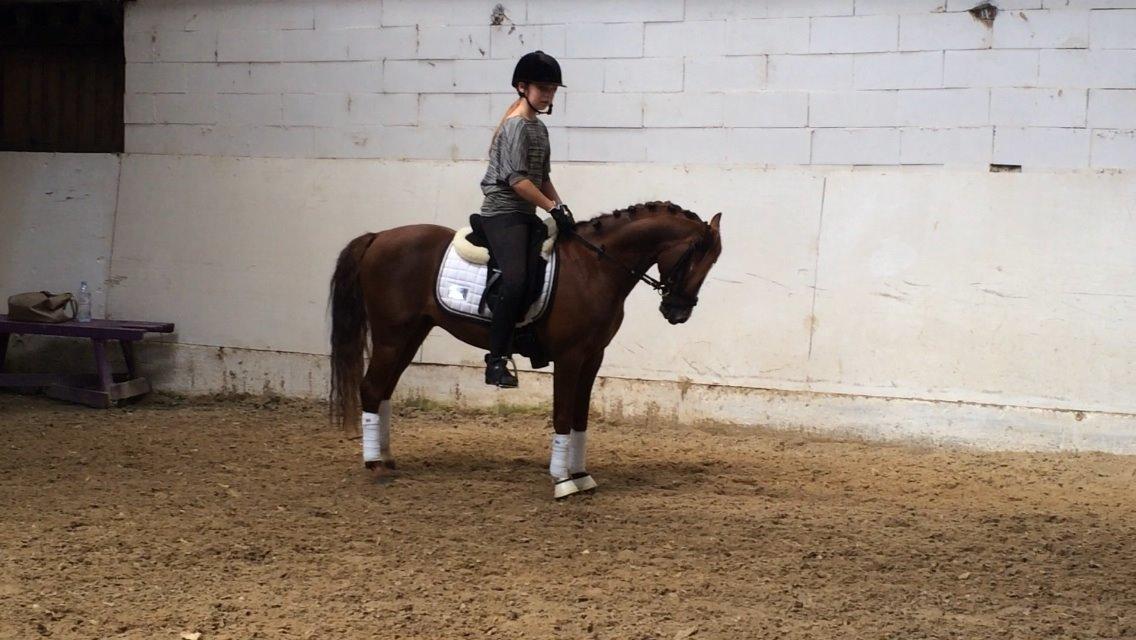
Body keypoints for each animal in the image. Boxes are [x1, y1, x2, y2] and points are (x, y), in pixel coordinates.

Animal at [329, 200, 723, 498]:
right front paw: (562, 481)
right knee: (371, 388)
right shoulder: (570, 357)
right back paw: (375, 466)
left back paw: (386, 457)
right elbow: (562, 414)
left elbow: (580, 416)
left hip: (410, 335)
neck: (594, 267)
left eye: (712, 263)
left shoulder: (593, 357)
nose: (678, 312)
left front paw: (581, 475)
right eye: (694, 256)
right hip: (392, 336)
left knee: (384, 392)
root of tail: (378, 237)